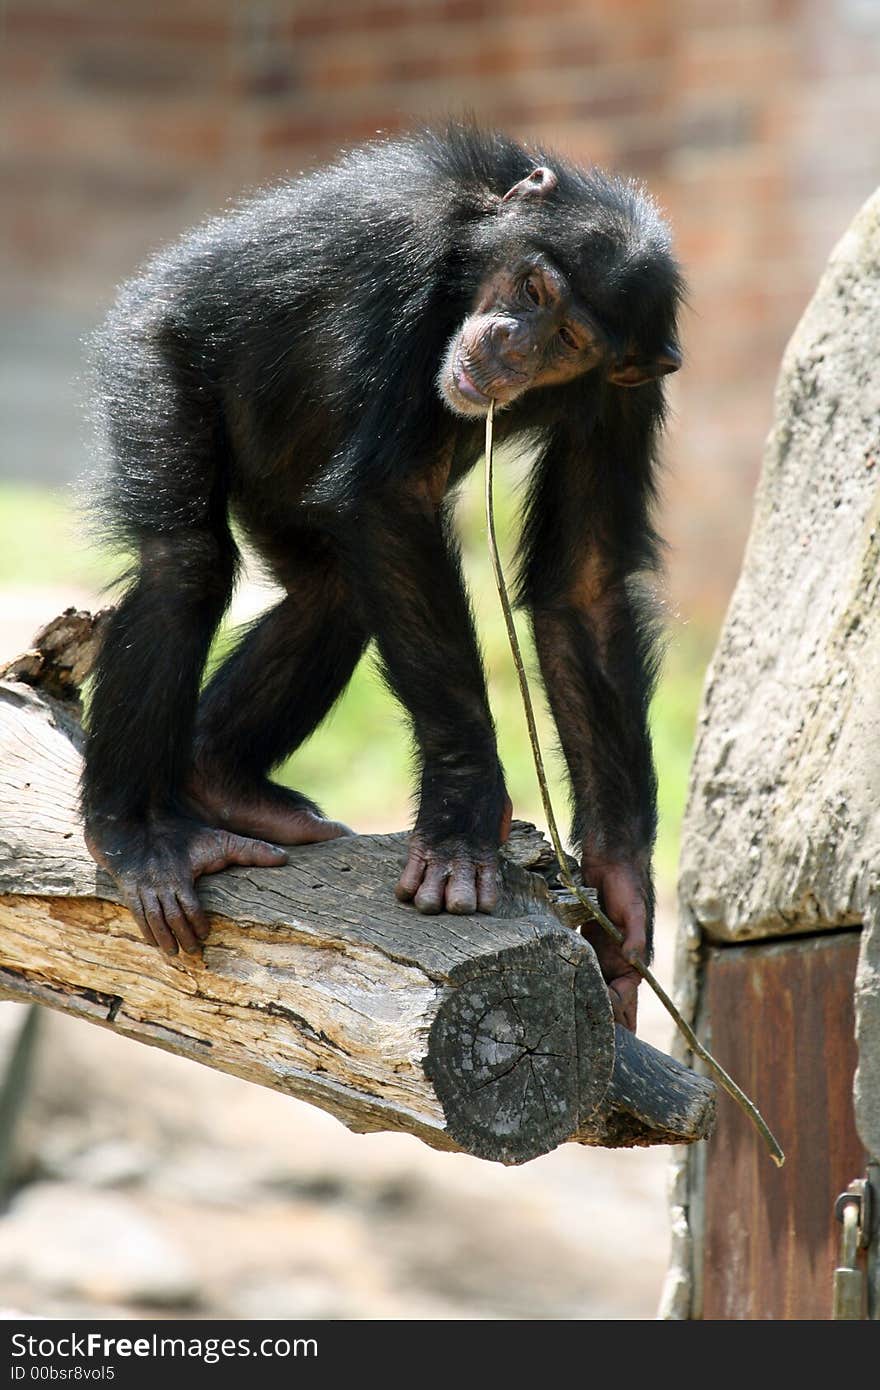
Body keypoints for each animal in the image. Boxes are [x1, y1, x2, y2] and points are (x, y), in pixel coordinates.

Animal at [82, 122, 683, 1034]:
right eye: (535, 288)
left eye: (571, 340)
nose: (512, 337)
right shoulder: (399, 257)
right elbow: (388, 496)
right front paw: (465, 812)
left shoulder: (626, 394)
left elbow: (582, 583)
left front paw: (621, 886)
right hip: (154, 353)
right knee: (184, 567)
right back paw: (133, 835)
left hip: (280, 495)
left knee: (333, 594)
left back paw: (217, 778)